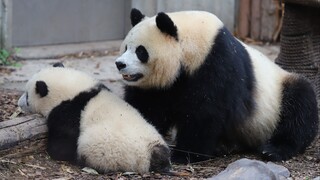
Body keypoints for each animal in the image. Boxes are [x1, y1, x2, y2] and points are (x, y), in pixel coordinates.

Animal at [16, 63, 172, 174]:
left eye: (27, 96)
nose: (19, 103)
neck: (76, 91)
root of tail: (150, 154)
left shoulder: (69, 112)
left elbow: (63, 143)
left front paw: (55, 150)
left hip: (108, 148)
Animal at [114, 8, 318, 163]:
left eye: (141, 51)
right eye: (126, 47)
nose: (119, 64)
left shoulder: (218, 63)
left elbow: (206, 110)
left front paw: (184, 154)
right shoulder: (163, 86)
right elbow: (148, 105)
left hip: (280, 89)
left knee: (300, 105)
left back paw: (273, 149)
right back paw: (225, 146)